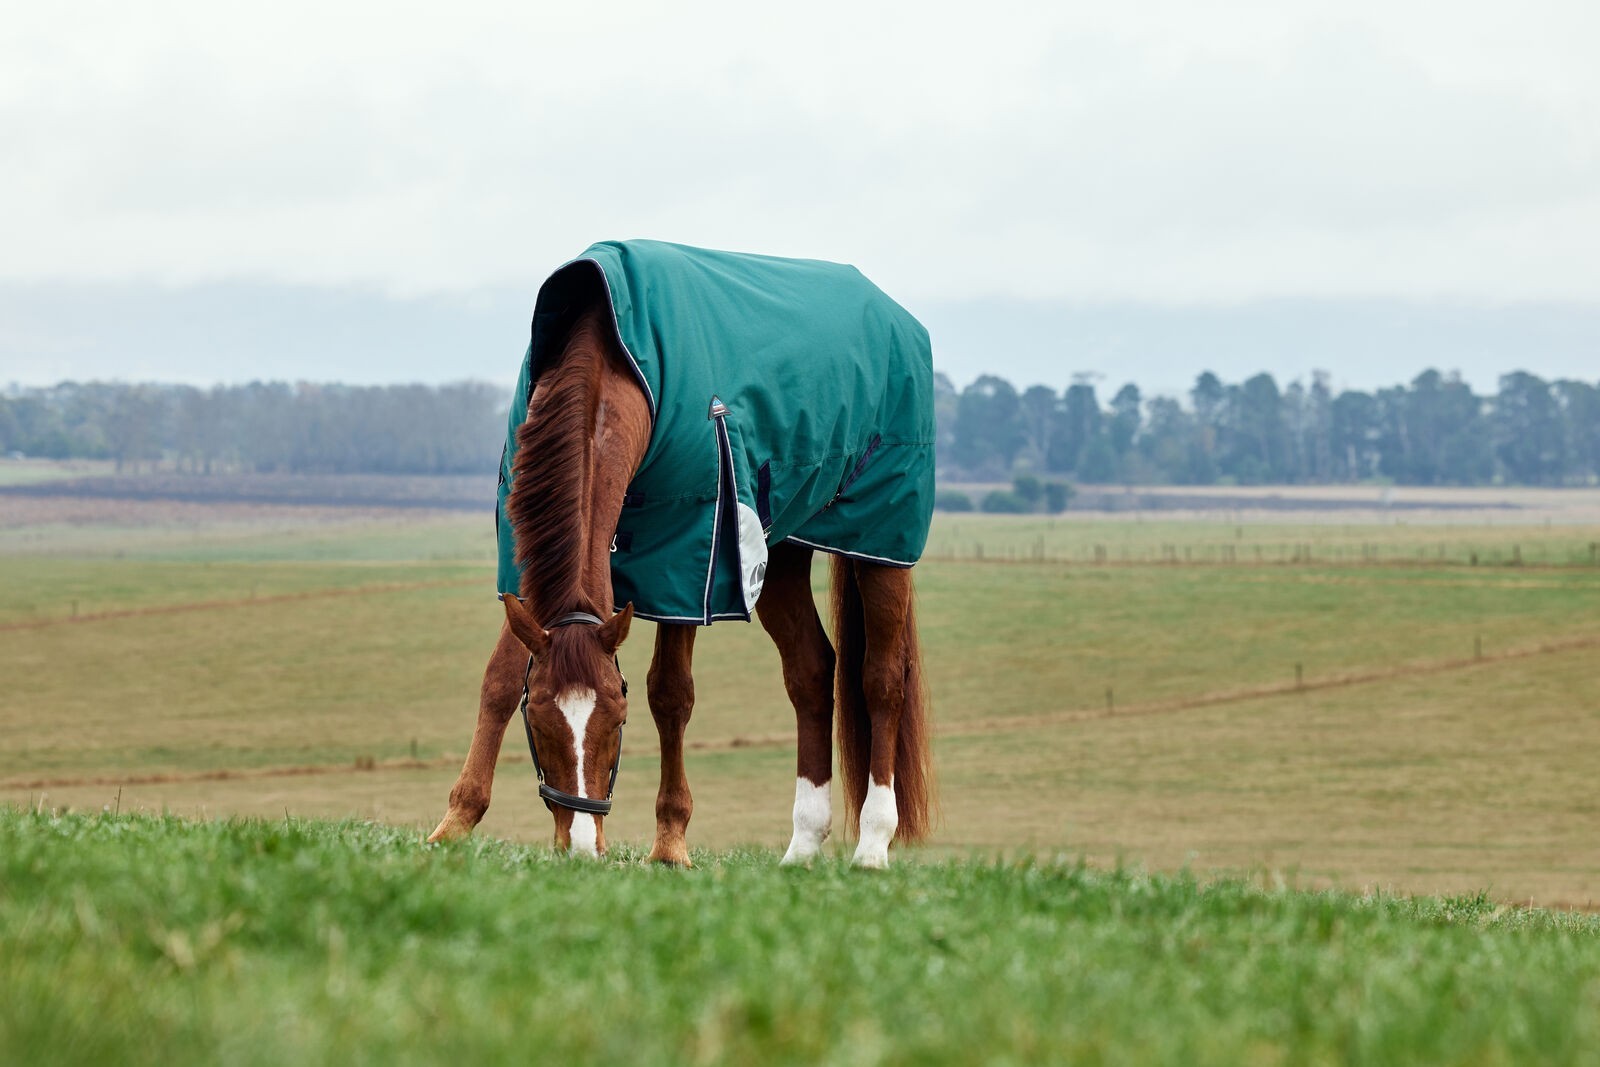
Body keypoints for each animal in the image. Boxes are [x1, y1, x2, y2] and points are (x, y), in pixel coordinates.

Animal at [427, 240, 935, 867]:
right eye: (539, 716)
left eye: (617, 721)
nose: (582, 846)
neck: (615, 361)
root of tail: (895, 316)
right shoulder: (523, 564)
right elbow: (498, 678)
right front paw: (455, 823)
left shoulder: (685, 560)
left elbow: (670, 693)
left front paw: (670, 843)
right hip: (778, 553)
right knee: (812, 672)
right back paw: (802, 847)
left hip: (881, 543)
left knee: (881, 678)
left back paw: (872, 845)